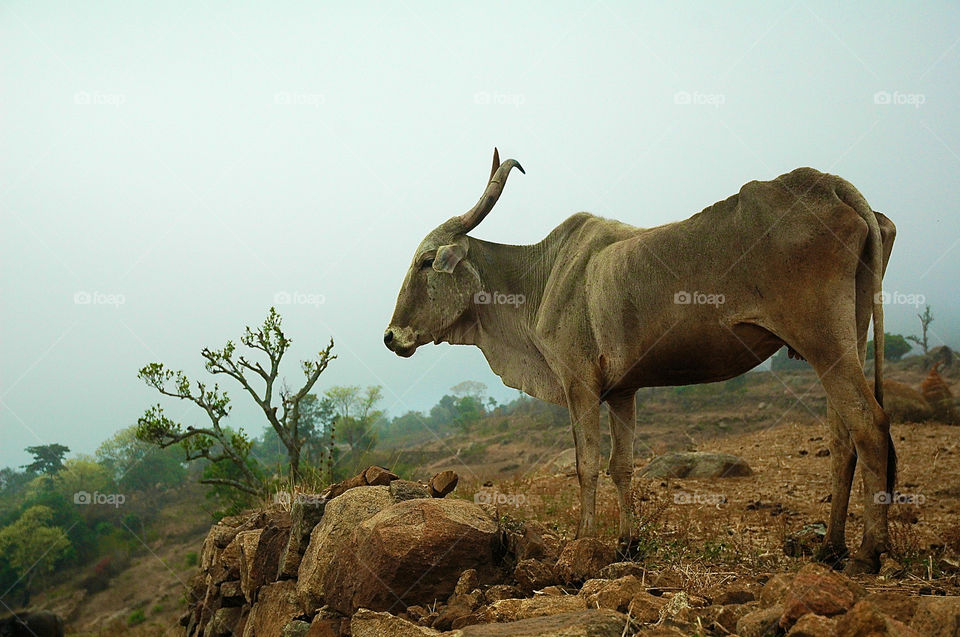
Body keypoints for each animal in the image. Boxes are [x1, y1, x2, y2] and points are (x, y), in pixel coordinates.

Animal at [384, 149, 896, 573]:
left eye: (427, 261)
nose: (391, 338)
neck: (541, 278)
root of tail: (830, 185)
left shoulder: (580, 386)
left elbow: (587, 464)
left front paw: (584, 543)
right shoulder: (622, 393)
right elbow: (621, 466)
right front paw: (627, 544)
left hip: (825, 345)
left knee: (870, 426)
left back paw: (867, 553)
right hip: (846, 340)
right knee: (843, 441)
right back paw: (831, 548)